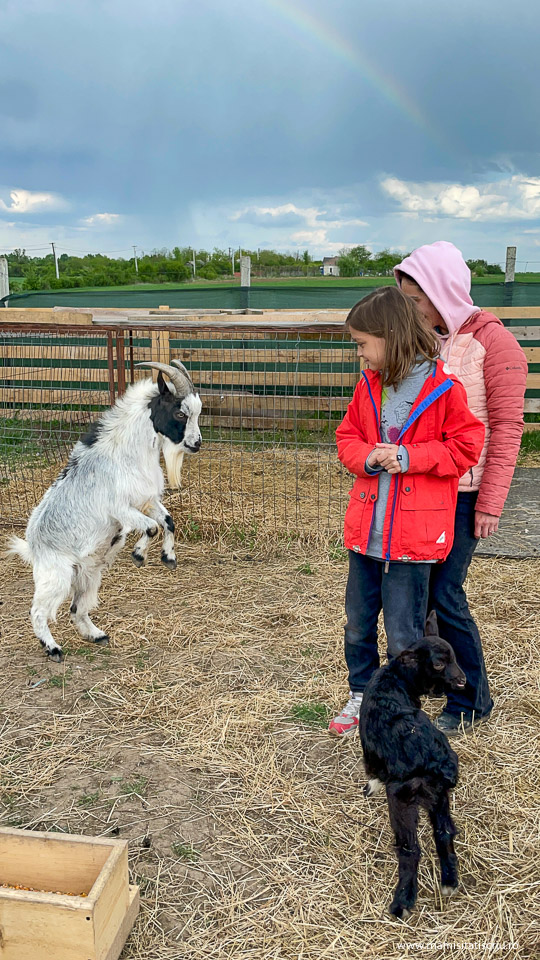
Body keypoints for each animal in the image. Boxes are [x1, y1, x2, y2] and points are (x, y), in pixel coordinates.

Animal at [7, 356, 201, 664]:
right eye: (180, 413)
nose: (196, 444)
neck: (126, 453)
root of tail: (33, 545)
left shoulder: (146, 500)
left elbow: (168, 521)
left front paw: (168, 557)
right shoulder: (121, 509)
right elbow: (151, 527)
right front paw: (138, 555)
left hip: (89, 573)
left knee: (77, 608)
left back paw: (96, 635)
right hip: (56, 576)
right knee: (38, 611)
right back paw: (53, 648)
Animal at [358, 612, 464, 920]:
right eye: (440, 663)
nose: (462, 681)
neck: (394, 679)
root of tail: (438, 760)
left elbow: (372, 769)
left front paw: (371, 786)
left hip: (403, 800)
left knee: (410, 849)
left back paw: (402, 902)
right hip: (438, 794)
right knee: (444, 831)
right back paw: (449, 882)